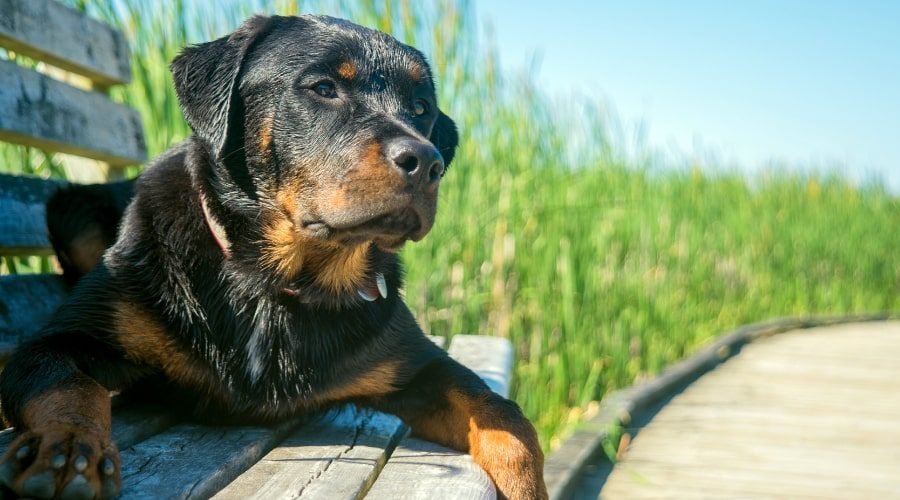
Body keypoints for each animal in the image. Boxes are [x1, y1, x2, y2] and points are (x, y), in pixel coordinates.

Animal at [0, 14, 548, 500]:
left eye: (420, 107)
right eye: (324, 87)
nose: (427, 162)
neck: (274, 280)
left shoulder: (418, 365)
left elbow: (503, 417)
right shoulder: (56, 342)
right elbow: (69, 385)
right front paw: (69, 448)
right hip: (71, 211)